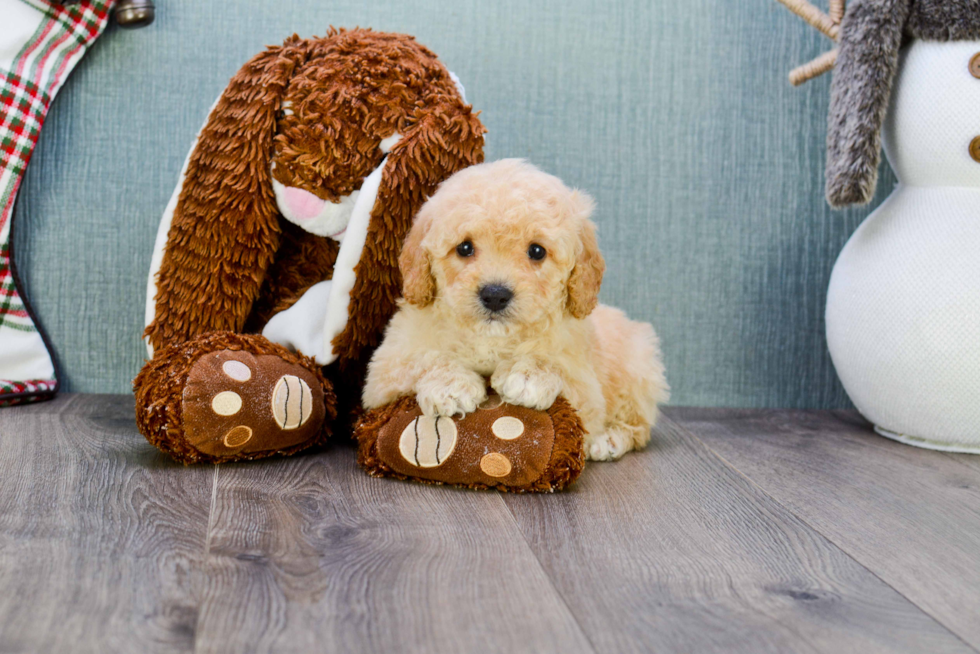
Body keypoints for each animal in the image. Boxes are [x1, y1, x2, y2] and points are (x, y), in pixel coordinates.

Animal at [364, 159, 668, 462]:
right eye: (464, 247)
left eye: (537, 251)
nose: (495, 295)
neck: (492, 338)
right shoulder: (386, 368)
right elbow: (423, 357)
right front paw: (451, 385)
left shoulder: (585, 386)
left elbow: (557, 364)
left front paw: (528, 376)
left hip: (637, 367)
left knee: (639, 425)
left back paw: (610, 440)